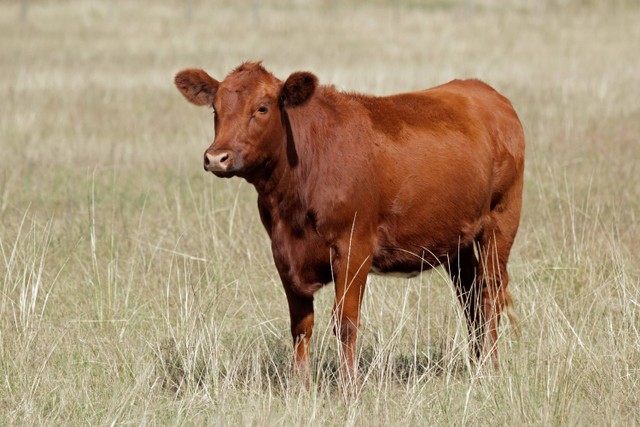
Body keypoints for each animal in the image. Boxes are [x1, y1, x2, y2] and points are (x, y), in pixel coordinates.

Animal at [175, 62, 524, 384]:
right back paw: (478, 364)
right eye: (216, 108)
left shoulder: (354, 246)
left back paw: (491, 368)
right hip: (457, 241)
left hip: (500, 221)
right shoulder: (283, 253)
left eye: (261, 108)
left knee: (489, 292)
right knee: (470, 298)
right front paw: (300, 387)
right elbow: (300, 326)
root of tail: (484, 92)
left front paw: (348, 389)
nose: (217, 157)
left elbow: (345, 322)